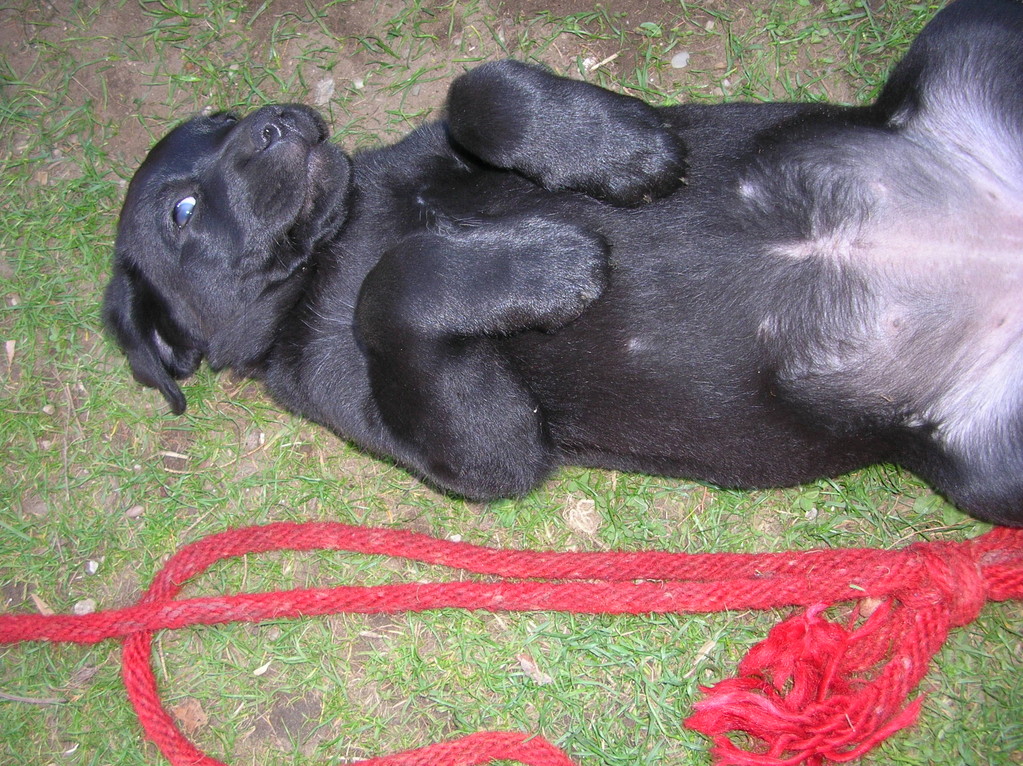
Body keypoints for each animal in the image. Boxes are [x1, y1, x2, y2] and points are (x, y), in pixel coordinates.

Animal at [105, 0, 1023, 527]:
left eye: (221, 116)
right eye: (182, 210)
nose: (277, 118)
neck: (341, 237)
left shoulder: (448, 140)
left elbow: (478, 91)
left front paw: (627, 147)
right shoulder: (485, 448)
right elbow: (389, 283)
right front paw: (549, 262)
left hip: (965, 27)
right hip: (988, 474)